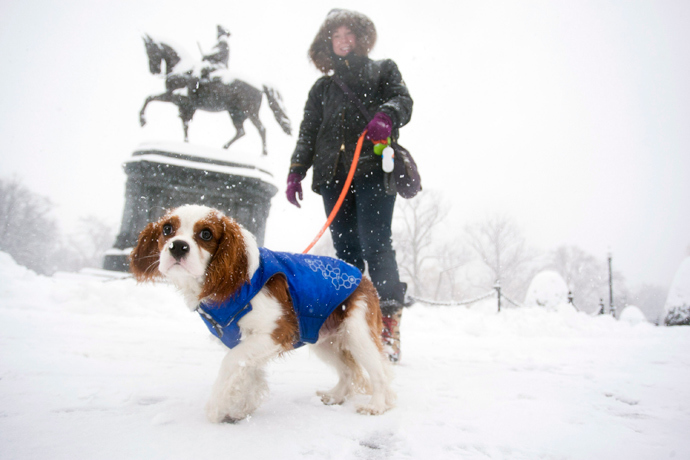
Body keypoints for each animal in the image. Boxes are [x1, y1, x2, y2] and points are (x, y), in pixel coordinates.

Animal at [128, 207, 392, 422]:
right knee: (348, 370)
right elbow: (247, 372)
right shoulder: (248, 342)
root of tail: (364, 277)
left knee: (379, 372)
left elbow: (231, 362)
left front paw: (216, 408)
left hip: (357, 333)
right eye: (167, 229)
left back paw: (377, 406)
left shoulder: (278, 332)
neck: (227, 283)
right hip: (322, 338)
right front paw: (240, 408)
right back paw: (335, 396)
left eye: (206, 234)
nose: (178, 246)